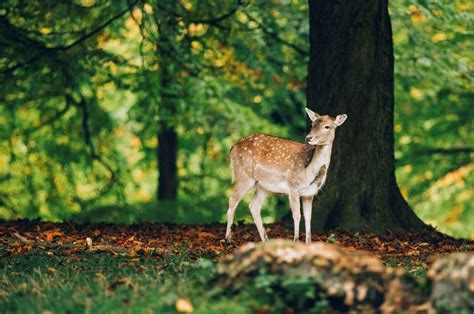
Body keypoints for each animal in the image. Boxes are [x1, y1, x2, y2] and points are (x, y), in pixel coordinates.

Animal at [224, 109, 346, 244]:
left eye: (327, 126)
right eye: (313, 124)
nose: (309, 137)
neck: (308, 172)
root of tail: (232, 147)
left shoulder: (309, 193)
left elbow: (308, 217)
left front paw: (308, 243)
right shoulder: (293, 188)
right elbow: (297, 215)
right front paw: (296, 241)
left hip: (264, 186)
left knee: (253, 206)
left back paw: (265, 240)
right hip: (244, 175)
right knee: (233, 200)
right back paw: (228, 238)